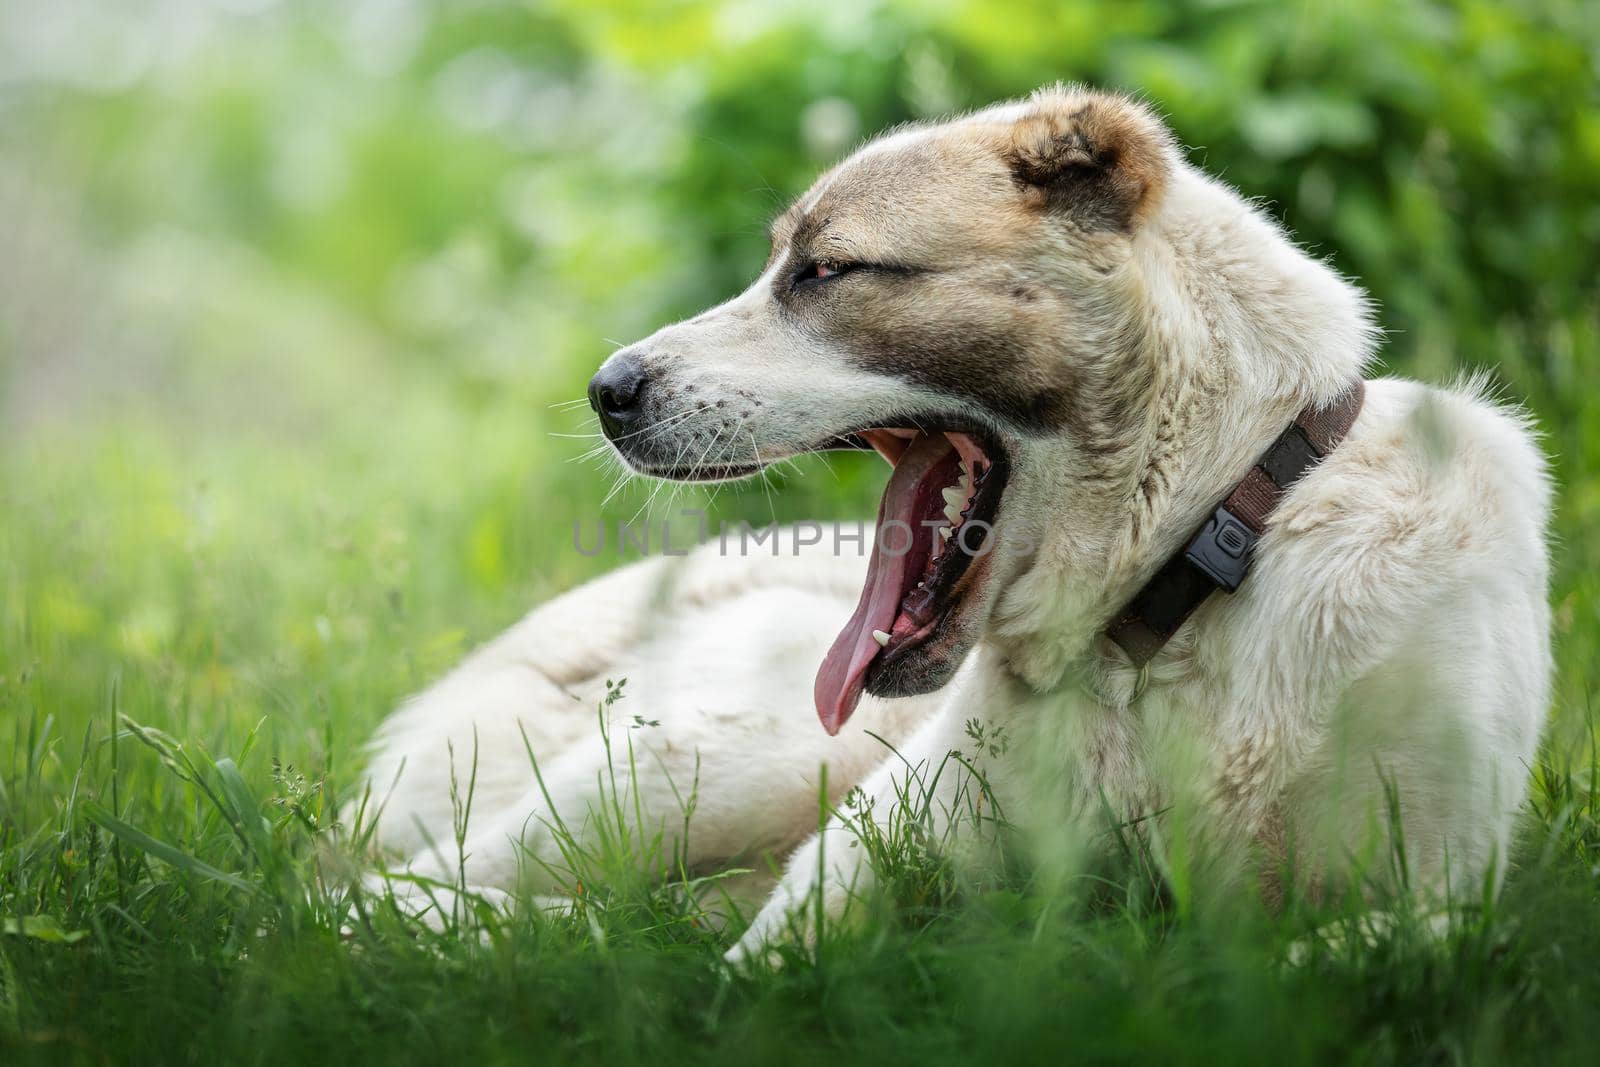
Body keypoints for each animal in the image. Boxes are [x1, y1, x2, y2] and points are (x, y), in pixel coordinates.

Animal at [360, 85, 1548, 959]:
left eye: (825, 270)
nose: (606, 391)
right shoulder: (852, 860)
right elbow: (762, 966)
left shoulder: (1449, 895)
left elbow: (1320, 950)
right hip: (711, 764)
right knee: (391, 885)